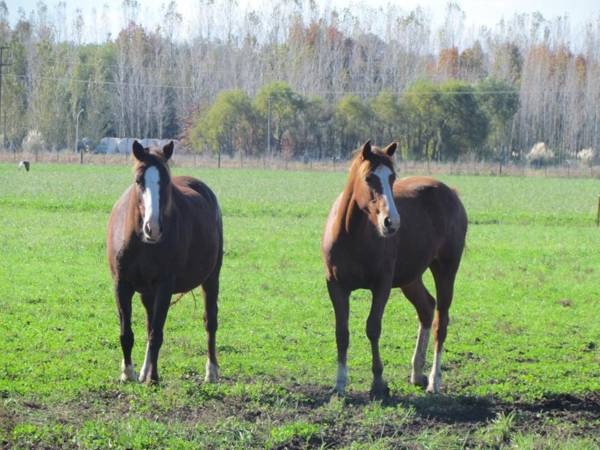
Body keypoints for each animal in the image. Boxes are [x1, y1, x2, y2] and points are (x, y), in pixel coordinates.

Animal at [107, 141, 223, 384]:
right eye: (138, 180)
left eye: (166, 180)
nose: (153, 228)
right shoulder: (121, 285)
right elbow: (127, 333)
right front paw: (128, 373)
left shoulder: (164, 286)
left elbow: (157, 334)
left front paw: (154, 378)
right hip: (147, 292)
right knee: (149, 323)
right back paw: (143, 371)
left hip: (212, 278)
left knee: (210, 321)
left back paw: (211, 371)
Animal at [322, 141, 466, 398]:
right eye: (369, 177)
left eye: (392, 177)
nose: (391, 222)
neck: (351, 234)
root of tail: (451, 193)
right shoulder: (336, 287)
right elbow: (342, 333)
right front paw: (339, 384)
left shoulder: (382, 286)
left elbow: (373, 328)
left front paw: (378, 382)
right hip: (411, 278)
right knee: (426, 308)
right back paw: (417, 372)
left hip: (446, 270)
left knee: (441, 322)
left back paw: (434, 381)